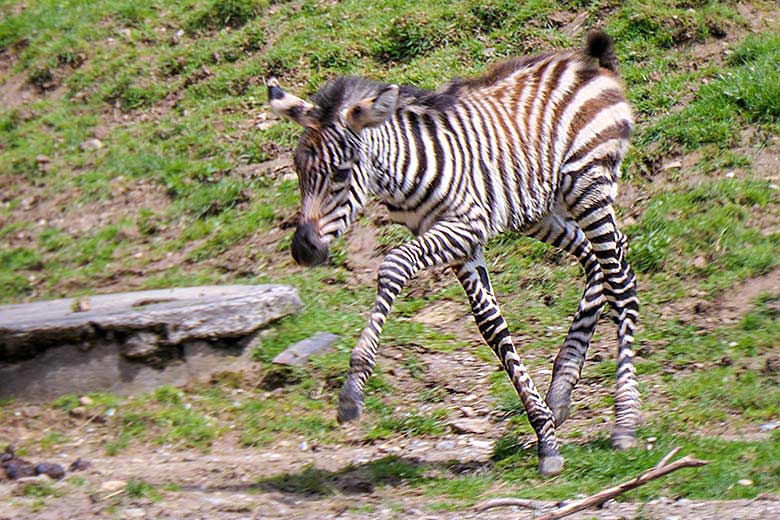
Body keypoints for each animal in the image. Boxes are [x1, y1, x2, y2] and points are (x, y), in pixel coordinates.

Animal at [268, 29, 640, 476]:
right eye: (298, 168)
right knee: (599, 261)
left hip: (589, 185)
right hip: (541, 210)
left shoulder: (464, 225)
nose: (303, 250)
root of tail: (592, 66)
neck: (406, 168)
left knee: (621, 279)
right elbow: (491, 327)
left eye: (340, 172)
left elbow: (393, 265)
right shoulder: (460, 242)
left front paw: (353, 390)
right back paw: (562, 388)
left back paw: (625, 421)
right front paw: (545, 435)